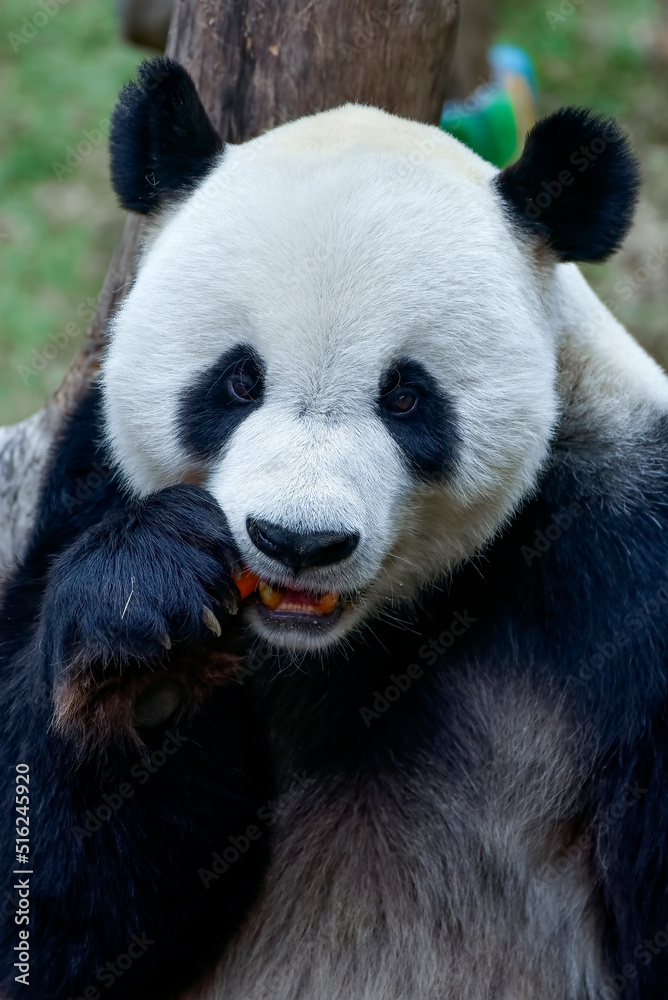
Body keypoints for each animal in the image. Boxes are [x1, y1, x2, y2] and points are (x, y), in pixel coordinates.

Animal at [1, 58, 668, 1000]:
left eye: (407, 396)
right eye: (238, 381)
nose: (298, 542)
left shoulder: (626, 554)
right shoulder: (83, 488)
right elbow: (53, 916)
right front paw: (144, 633)